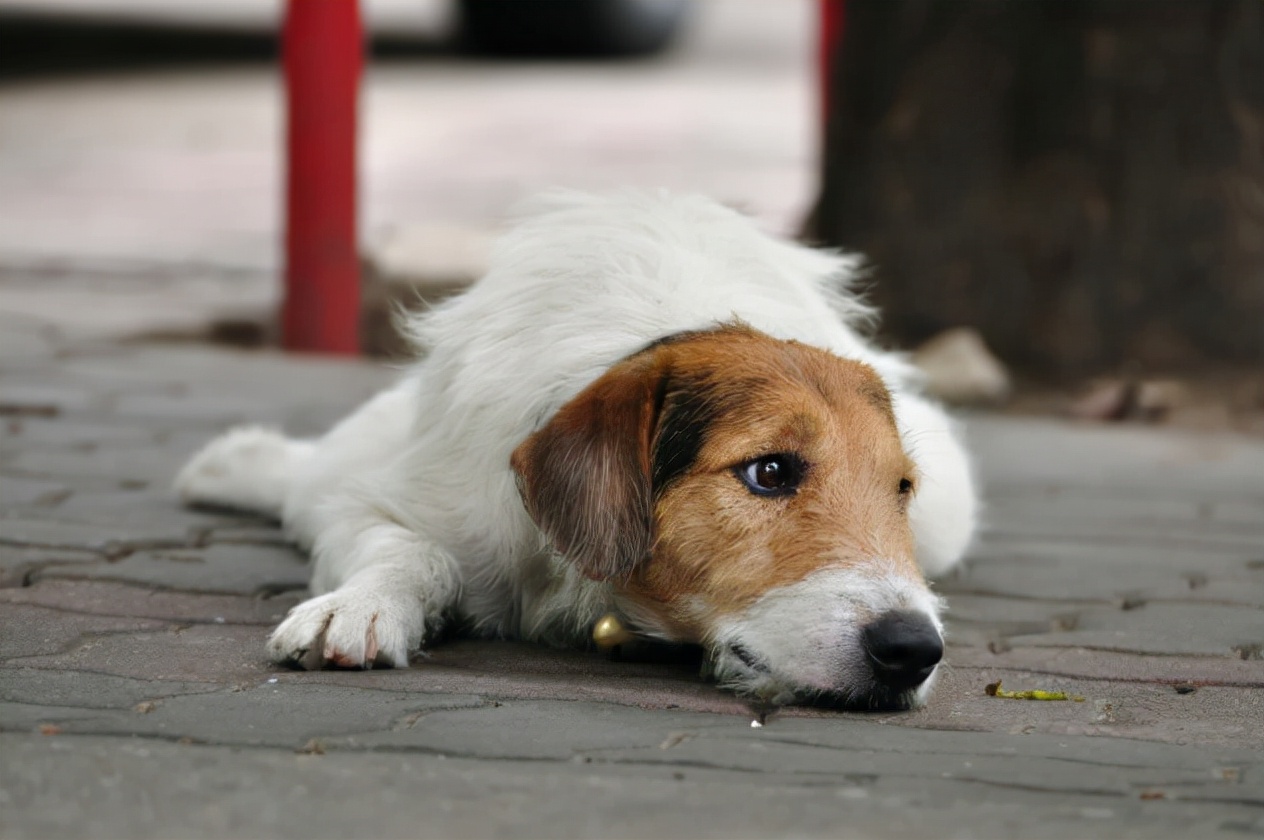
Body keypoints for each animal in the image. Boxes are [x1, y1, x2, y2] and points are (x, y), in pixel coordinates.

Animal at [175, 188, 975, 707]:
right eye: (770, 471)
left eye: (900, 489)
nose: (914, 649)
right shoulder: (402, 501)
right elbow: (407, 548)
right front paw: (362, 606)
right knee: (313, 474)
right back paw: (229, 464)